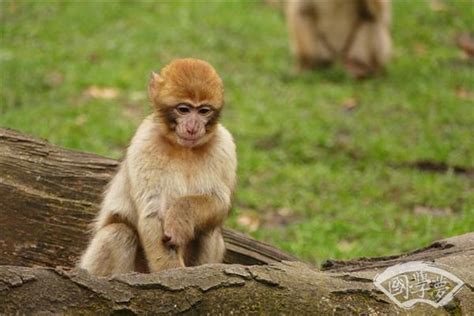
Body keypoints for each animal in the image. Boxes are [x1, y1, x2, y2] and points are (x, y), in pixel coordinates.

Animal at [81, 58, 239, 276]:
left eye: (203, 111)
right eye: (184, 109)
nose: (192, 127)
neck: (184, 149)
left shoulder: (225, 146)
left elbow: (218, 201)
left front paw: (181, 216)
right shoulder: (145, 143)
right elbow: (153, 212)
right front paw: (173, 274)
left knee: (209, 232)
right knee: (119, 233)